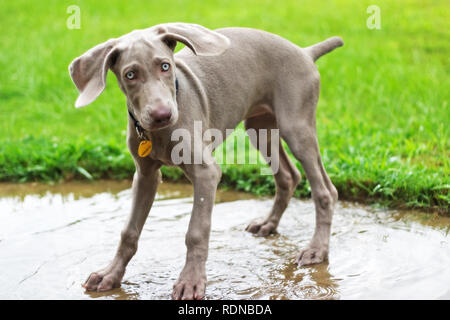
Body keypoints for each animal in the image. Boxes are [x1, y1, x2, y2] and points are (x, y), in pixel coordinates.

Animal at [67, 23, 342, 300]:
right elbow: (129, 231)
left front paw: (190, 281)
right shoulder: (145, 176)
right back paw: (268, 224)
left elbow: (196, 232)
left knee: (325, 190)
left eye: (165, 66)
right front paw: (110, 274)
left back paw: (317, 250)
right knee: (288, 176)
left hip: (296, 126)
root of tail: (305, 52)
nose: (162, 115)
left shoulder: (205, 173)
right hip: (259, 127)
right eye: (130, 74)